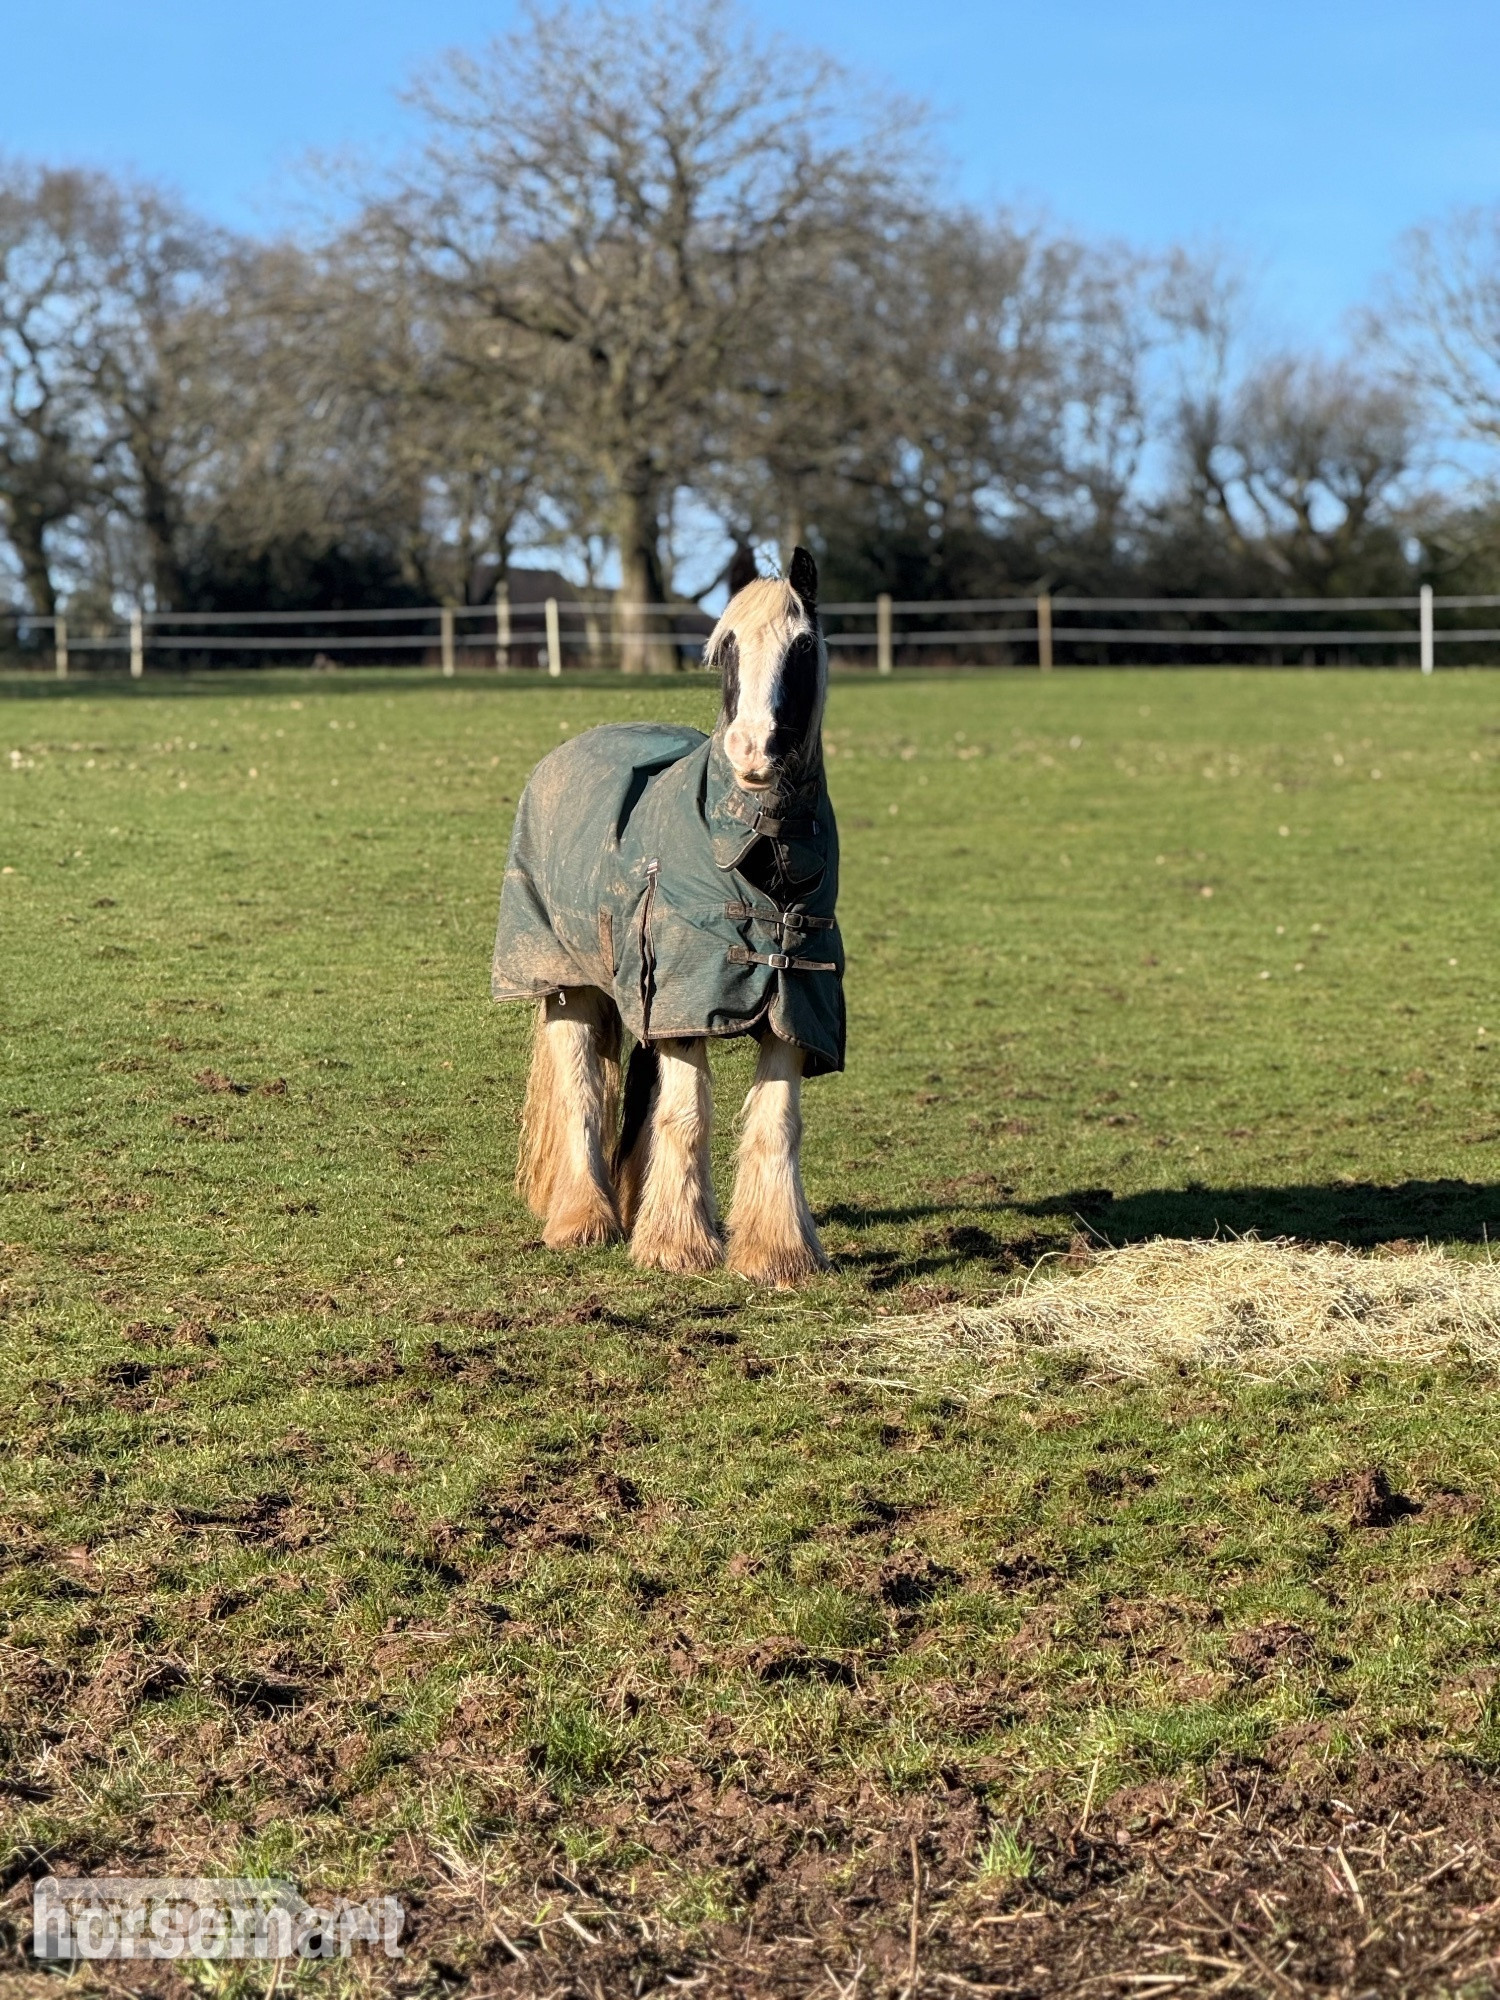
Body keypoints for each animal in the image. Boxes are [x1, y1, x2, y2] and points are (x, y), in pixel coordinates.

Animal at [490, 546, 843, 1285]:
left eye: (802, 646)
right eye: (725, 649)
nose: (751, 752)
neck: (758, 858)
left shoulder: (796, 998)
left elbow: (776, 1120)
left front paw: (777, 1253)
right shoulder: (685, 1000)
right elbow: (686, 1116)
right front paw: (678, 1247)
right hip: (568, 984)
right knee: (582, 1092)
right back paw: (584, 1219)